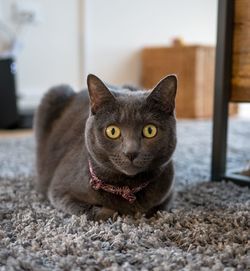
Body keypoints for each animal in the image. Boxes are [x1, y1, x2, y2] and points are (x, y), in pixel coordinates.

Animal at [34, 74, 177, 221]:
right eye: (112, 131)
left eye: (150, 130)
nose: (131, 152)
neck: (126, 187)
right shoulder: (59, 190)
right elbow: (97, 211)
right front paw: (118, 213)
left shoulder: (168, 194)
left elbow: (154, 209)